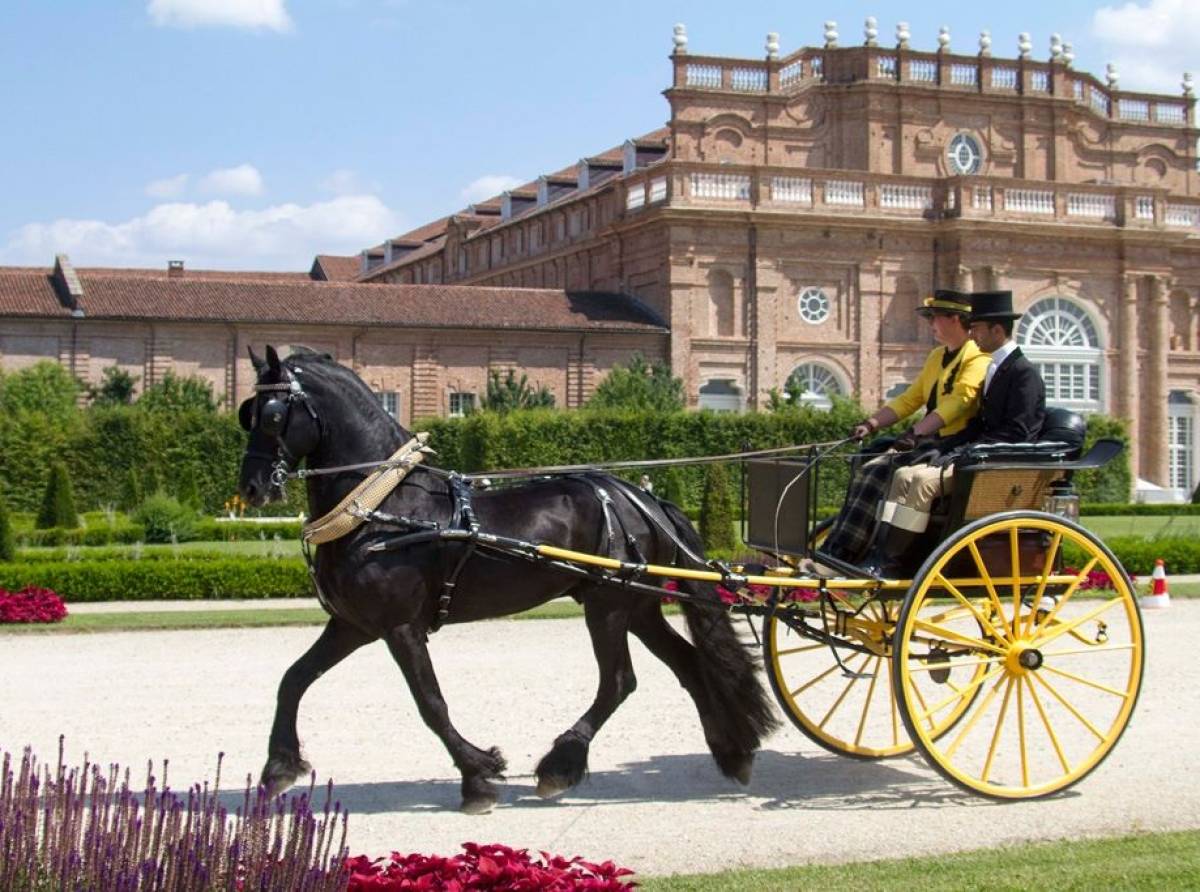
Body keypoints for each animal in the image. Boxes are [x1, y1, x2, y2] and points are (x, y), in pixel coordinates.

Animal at [237, 345, 777, 811]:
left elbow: (430, 703)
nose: (252, 487)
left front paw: (477, 773)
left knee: (619, 681)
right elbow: (293, 679)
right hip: (636, 606)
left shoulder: (400, 628)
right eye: (247, 412)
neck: (386, 508)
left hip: (607, 607)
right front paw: (278, 766)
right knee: (689, 664)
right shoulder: (353, 625)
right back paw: (732, 752)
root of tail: (642, 498)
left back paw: (561, 764)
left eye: (272, 414)